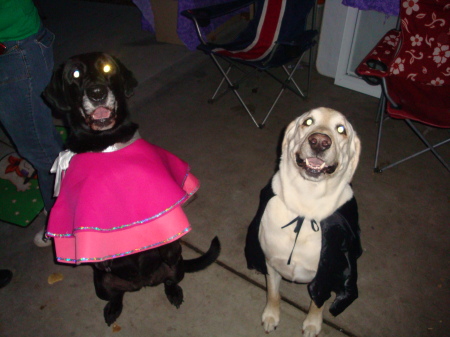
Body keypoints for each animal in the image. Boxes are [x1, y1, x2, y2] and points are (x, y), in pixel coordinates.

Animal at [44, 52, 221, 326]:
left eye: (107, 67)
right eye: (75, 73)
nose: (97, 92)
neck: (104, 143)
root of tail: (142, 284)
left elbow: (168, 231)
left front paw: (167, 242)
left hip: (176, 269)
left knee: (170, 279)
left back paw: (173, 291)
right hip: (102, 285)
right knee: (116, 295)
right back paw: (113, 308)